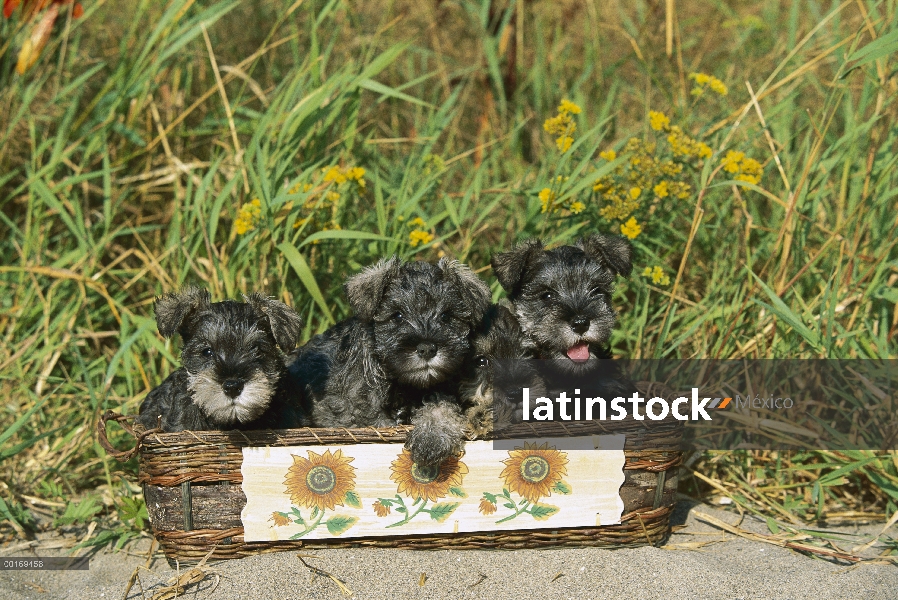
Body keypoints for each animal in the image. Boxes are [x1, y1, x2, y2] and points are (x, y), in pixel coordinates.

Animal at [288, 255, 490, 466]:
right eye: (397, 315)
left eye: (446, 316)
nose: (427, 348)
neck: (406, 386)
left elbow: (443, 405)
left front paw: (432, 437)